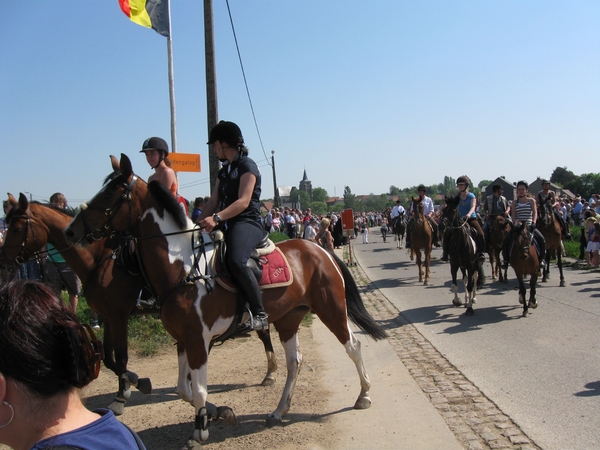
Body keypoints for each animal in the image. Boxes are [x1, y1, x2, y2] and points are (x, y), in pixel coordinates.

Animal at [0, 193, 278, 414]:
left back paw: (270, 372)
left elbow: (121, 357)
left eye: (16, 228)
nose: (5, 261)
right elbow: (108, 355)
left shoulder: (118, 315)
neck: (99, 260)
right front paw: (134, 383)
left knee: (264, 331)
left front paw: (125, 393)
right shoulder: (108, 315)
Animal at [64, 155, 384, 442]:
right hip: (289, 319)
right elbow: (184, 389)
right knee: (295, 362)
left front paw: (200, 430)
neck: (182, 267)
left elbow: (198, 390)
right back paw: (279, 410)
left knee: (353, 346)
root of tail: (319, 250)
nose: (71, 230)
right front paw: (220, 412)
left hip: (332, 309)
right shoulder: (183, 339)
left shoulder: (196, 339)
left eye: (109, 193)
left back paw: (364, 394)